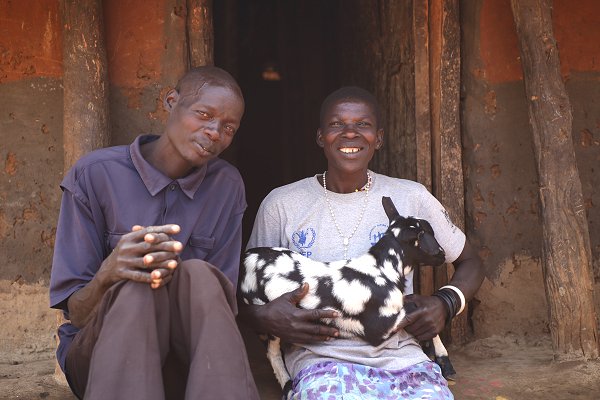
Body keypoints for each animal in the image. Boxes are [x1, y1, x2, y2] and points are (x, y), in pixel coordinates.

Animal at [239, 195, 454, 396]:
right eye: (428, 234)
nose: (442, 254)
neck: (382, 269)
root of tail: (245, 260)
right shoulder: (382, 325)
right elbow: (416, 311)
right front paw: (444, 360)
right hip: (271, 317)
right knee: (273, 352)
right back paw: (287, 386)